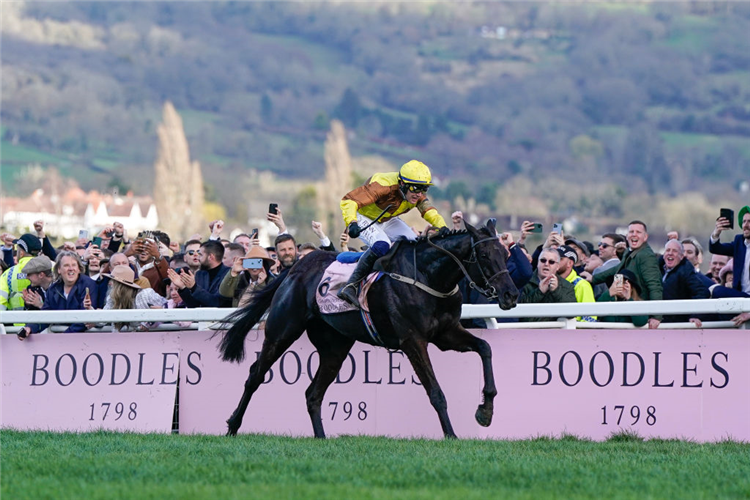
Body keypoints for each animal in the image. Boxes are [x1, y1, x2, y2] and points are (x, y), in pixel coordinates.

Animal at [220, 222, 520, 438]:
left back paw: (321, 438)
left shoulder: (446, 334)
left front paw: (485, 411)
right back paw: (233, 425)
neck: (428, 276)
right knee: (255, 375)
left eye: (506, 253)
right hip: (283, 330)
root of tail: (296, 267)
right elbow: (436, 392)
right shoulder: (413, 341)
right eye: (484, 255)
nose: (510, 294)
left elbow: (485, 348)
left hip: (335, 347)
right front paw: (451, 435)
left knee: (313, 394)